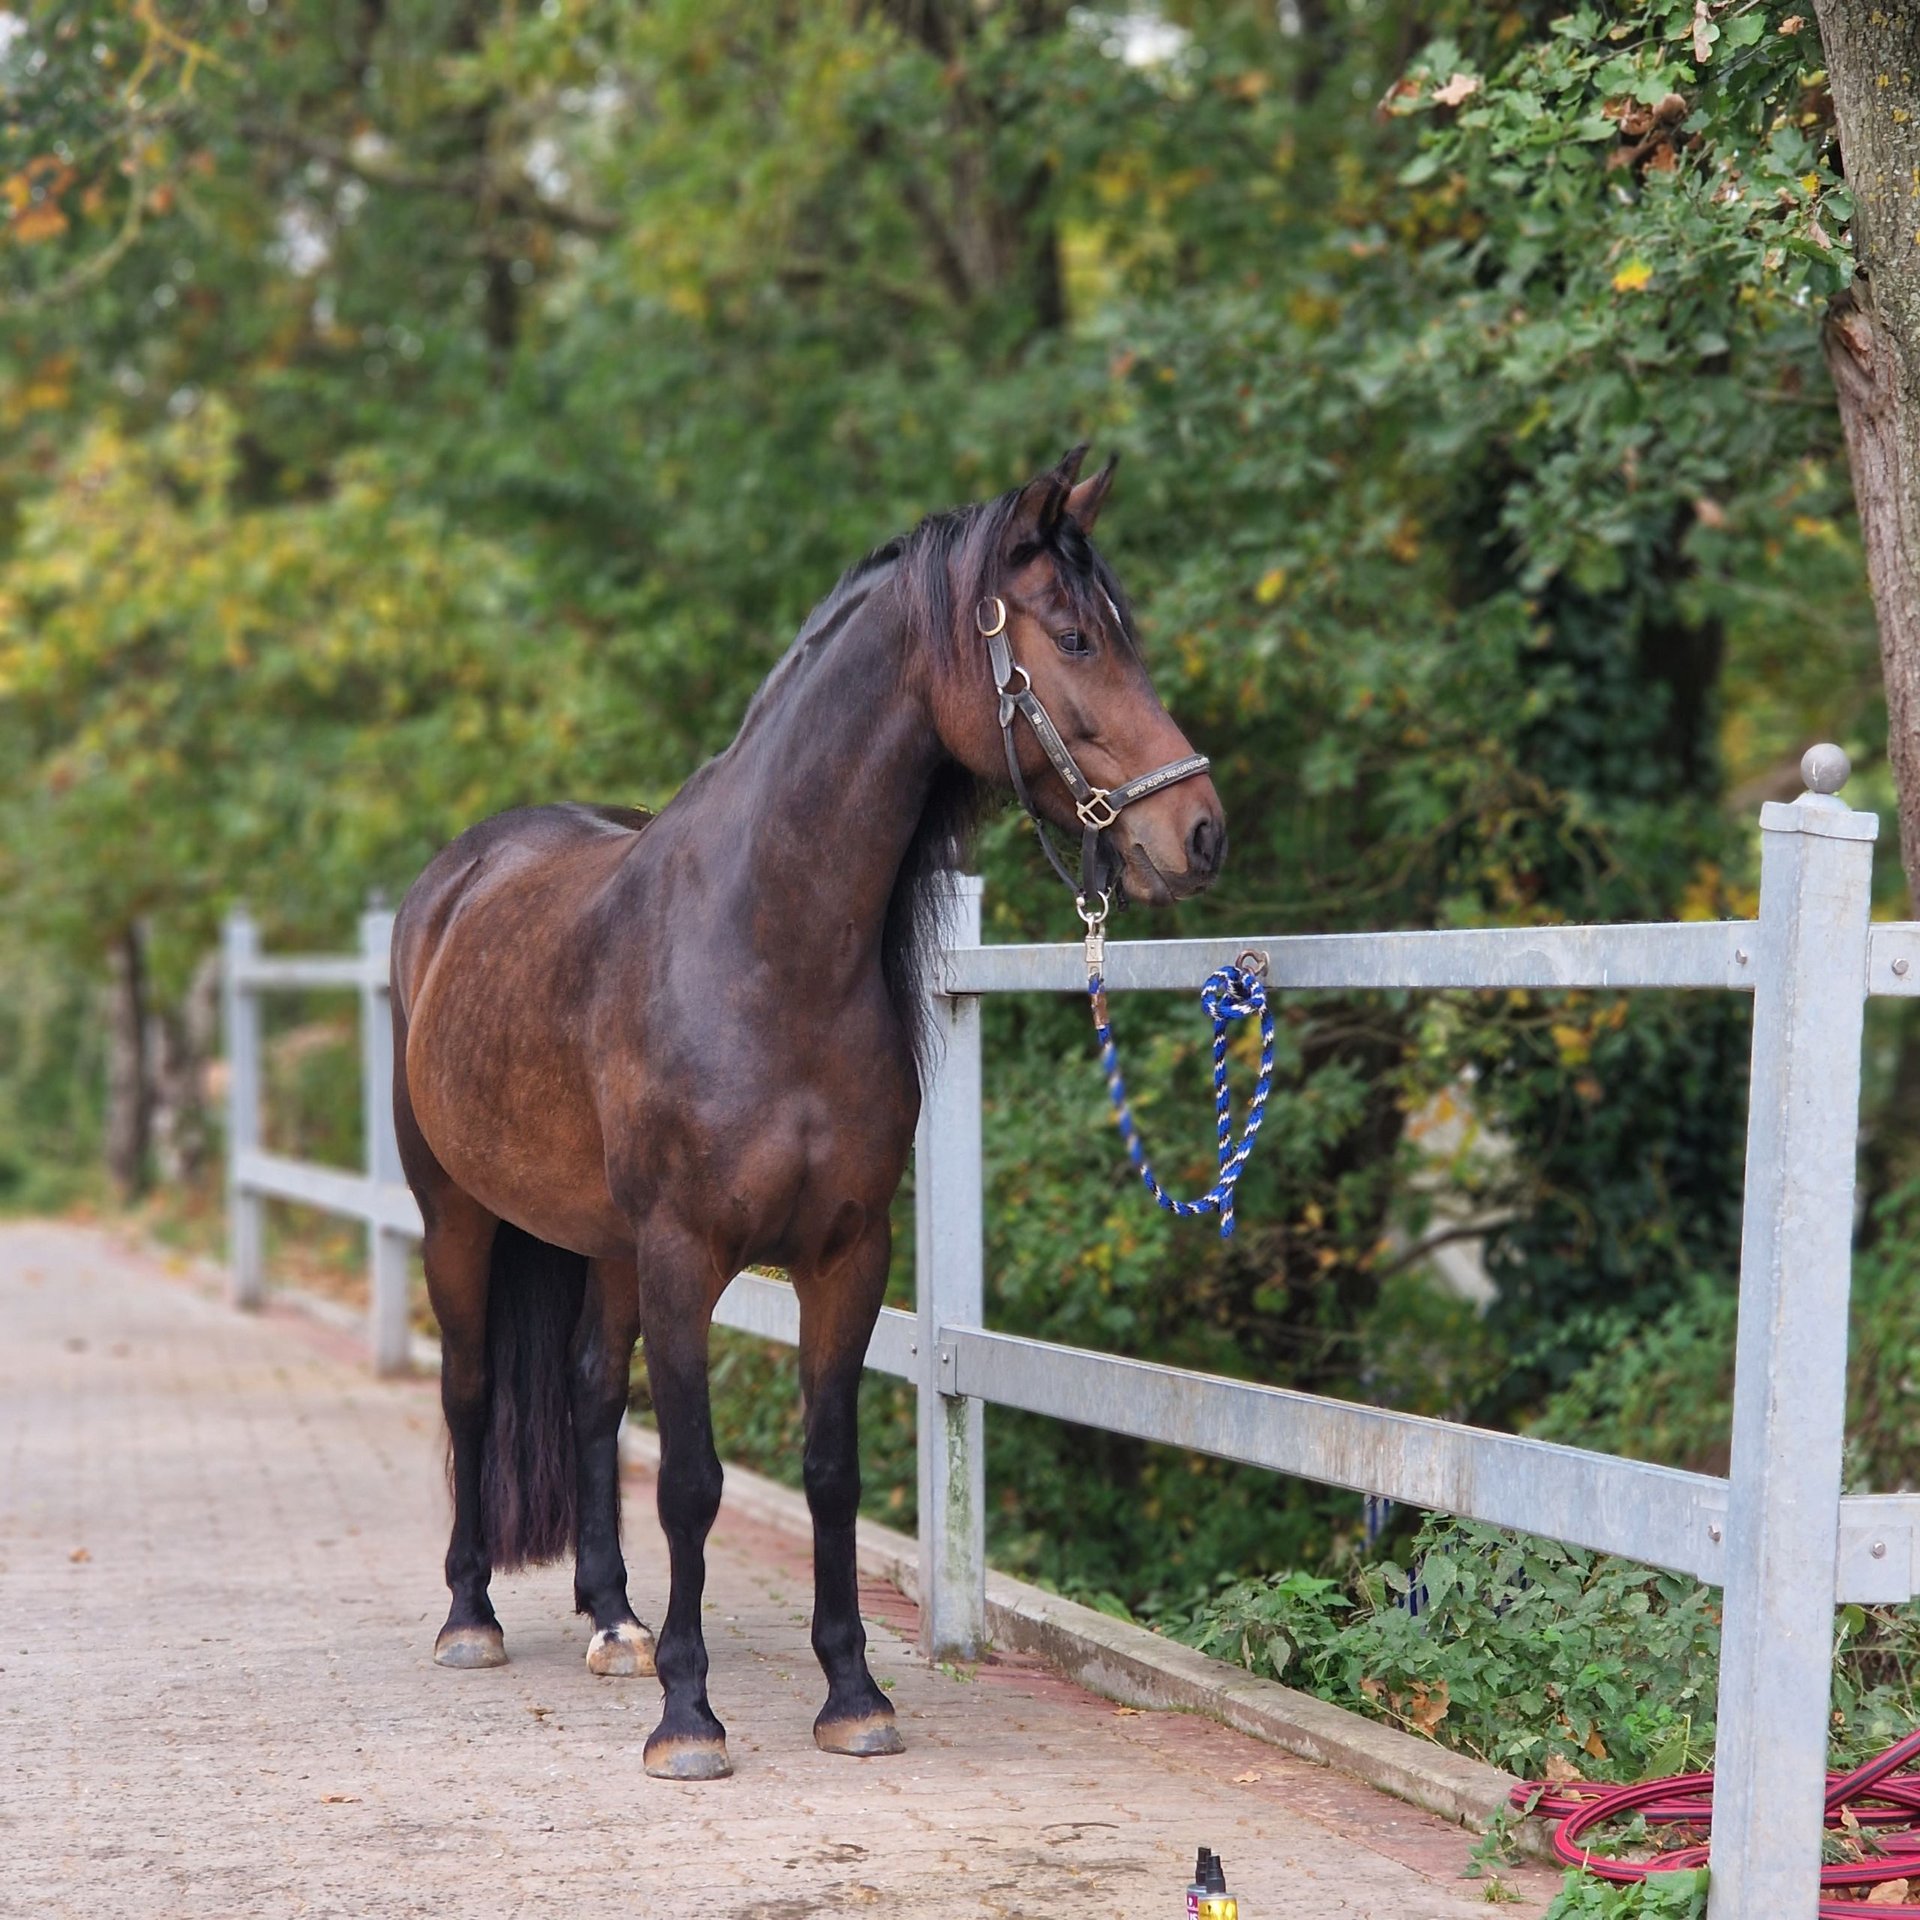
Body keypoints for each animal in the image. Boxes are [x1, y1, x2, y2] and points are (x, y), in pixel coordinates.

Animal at [391, 441, 1221, 1774]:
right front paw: (688, 1714)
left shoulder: (846, 1253)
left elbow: (830, 1468)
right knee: (469, 1390)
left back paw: (613, 1620)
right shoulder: (686, 1254)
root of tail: (460, 875)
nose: (1197, 831)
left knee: (587, 1390)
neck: (762, 944)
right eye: (1077, 637)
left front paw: (854, 1694)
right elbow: (691, 1479)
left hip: (604, 1245)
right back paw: (472, 1618)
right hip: (456, 1213)